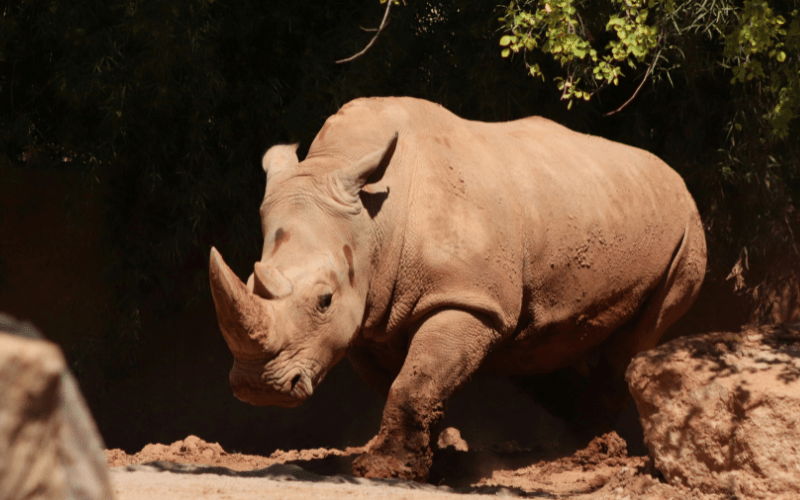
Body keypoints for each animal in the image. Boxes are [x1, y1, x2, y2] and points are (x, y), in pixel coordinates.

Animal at [209, 96, 706, 481]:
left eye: (324, 300)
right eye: (249, 281)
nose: (259, 387)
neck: (373, 223)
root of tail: (676, 179)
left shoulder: (467, 299)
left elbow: (415, 381)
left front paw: (384, 471)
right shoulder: (370, 319)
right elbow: (412, 381)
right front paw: (434, 460)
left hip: (686, 232)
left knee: (635, 338)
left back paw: (585, 452)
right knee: (540, 344)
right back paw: (573, 440)